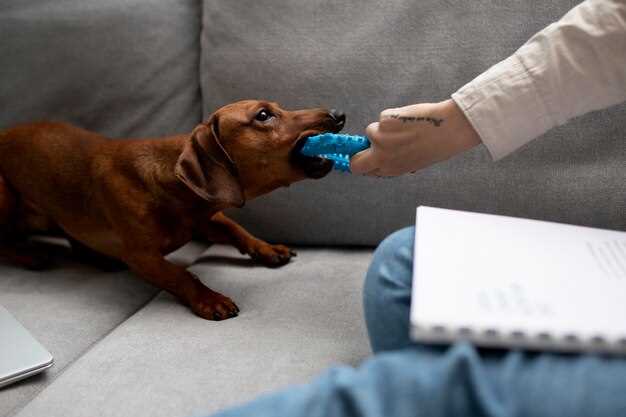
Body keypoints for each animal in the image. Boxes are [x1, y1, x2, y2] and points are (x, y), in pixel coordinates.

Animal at [0, 100, 344, 318]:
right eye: (263, 115)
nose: (339, 114)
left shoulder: (204, 221)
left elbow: (236, 229)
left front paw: (267, 248)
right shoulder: (141, 257)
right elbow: (181, 275)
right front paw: (210, 299)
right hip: (5, 196)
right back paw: (30, 255)